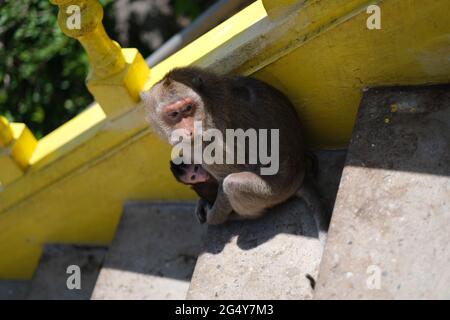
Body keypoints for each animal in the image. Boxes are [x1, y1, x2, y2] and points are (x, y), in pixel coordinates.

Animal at [142, 67, 328, 242]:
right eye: (174, 114)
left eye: (188, 108)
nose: (189, 130)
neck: (207, 104)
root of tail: (300, 173)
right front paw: (202, 201)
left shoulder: (212, 141)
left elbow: (227, 177)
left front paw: (213, 217)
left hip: (276, 190)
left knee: (232, 184)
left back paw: (239, 216)